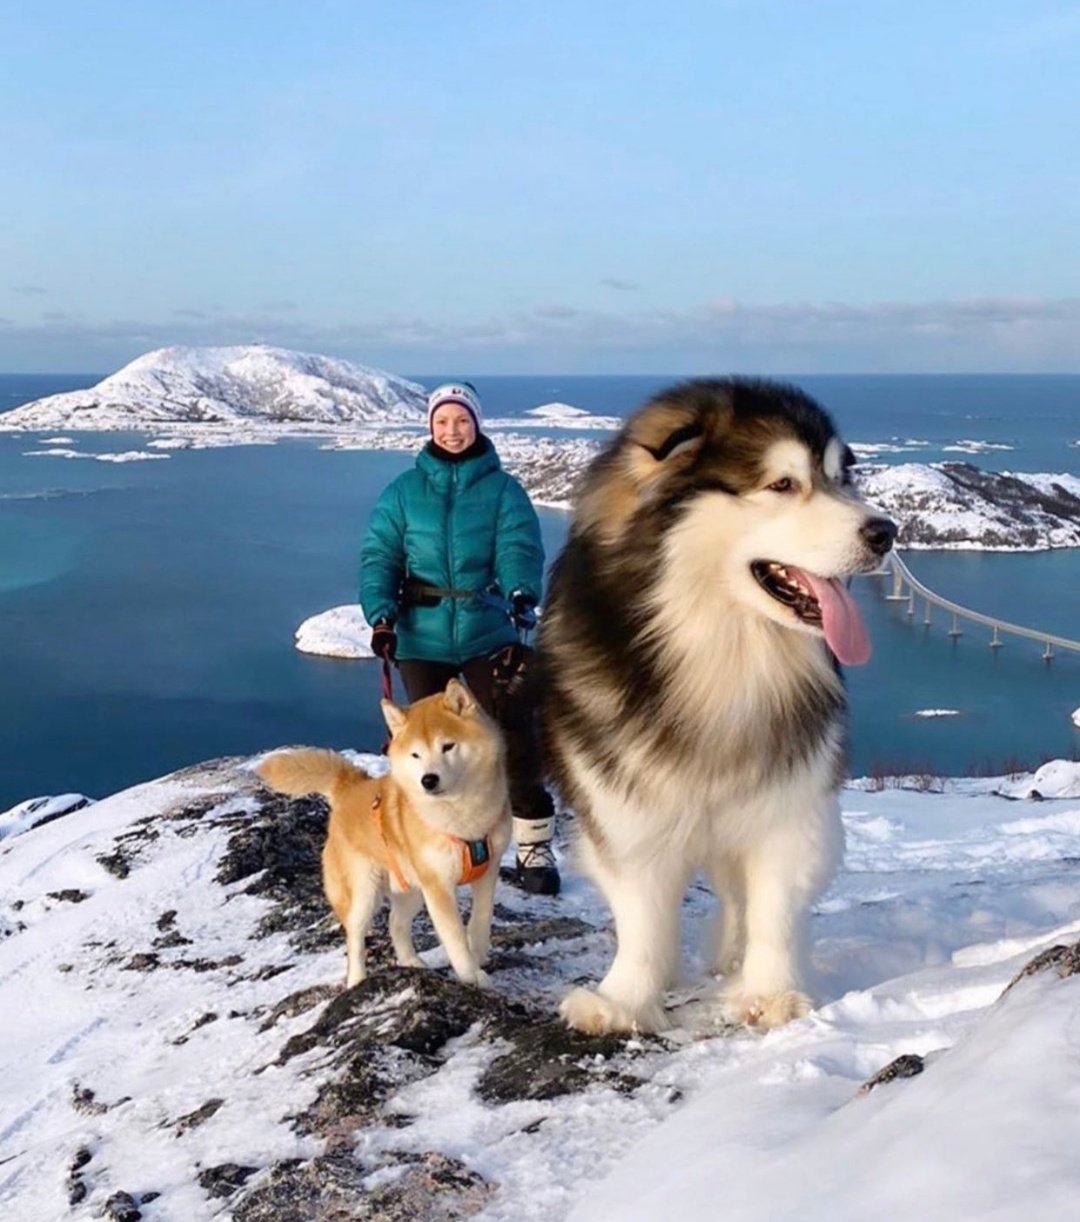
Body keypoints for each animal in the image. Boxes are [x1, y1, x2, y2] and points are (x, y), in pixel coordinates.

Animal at [261, 684, 515, 987]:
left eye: (448, 746)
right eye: (415, 755)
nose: (428, 780)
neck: (462, 820)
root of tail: (349, 787)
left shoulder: (488, 870)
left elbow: (481, 919)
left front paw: (478, 953)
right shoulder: (438, 887)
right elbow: (454, 938)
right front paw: (471, 975)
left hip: (412, 889)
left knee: (396, 923)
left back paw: (410, 961)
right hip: (365, 892)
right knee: (355, 937)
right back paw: (357, 981)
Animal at [540, 378, 904, 1031]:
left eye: (841, 478)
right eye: (782, 484)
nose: (885, 532)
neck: (722, 652)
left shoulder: (790, 801)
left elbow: (773, 908)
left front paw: (771, 994)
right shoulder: (626, 805)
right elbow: (643, 917)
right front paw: (624, 1000)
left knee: (739, 897)